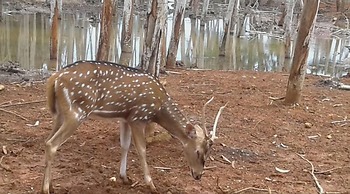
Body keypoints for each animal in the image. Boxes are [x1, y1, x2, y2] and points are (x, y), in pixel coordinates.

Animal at [41, 59, 227, 193]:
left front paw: (124, 177)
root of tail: (55, 78)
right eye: (198, 151)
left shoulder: (125, 118)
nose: (198, 175)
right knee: (51, 144)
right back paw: (46, 189)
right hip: (77, 112)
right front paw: (151, 185)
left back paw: (50, 185)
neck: (159, 109)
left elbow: (124, 145)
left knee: (48, 140)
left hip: (59, 114)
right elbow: (142, 150)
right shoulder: (139, 117)